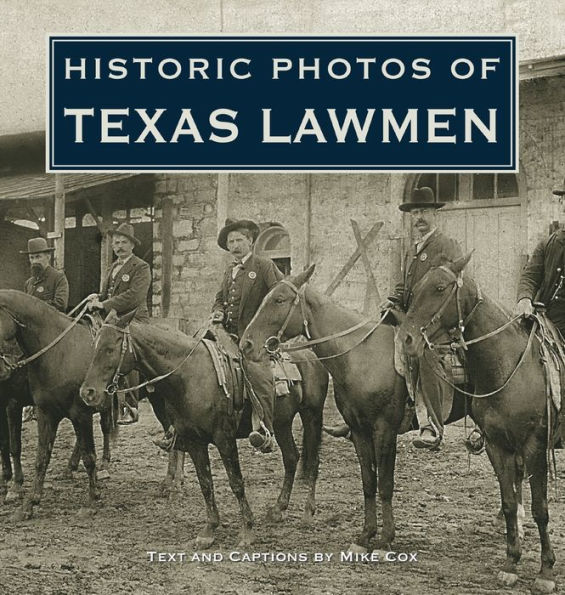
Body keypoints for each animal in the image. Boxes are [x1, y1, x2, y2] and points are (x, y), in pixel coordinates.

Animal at [0, 292, 178, 520]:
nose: (3, 369)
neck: (60, 353)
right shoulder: (46, 413)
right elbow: (41, 457)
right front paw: (29, 504)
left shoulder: (79, 413)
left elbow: (89, 457)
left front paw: (92, 500)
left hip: (164, 404)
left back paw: (170, 482)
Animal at [77, 312, 328, 548]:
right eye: (94, 346)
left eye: (110, 349)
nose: (87, 392)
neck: (191, 376)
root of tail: (311, 356)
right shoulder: (194, 442)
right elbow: (205, 484)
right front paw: (209, 530)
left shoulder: (225, 439)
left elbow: (236, 482)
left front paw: (247, 530)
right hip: (282, 424)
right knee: (291, 458)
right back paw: (278, 508)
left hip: (312, 416)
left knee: (314, 461)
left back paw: (308, 512)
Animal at [396, 256, 556, 595]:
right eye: (415, 288)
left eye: (440, 288)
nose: (406, 339)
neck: (509, 365)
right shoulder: (498, 445)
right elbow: (508, 502)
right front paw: (511, 563)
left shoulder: (535, 446)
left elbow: (541, 508)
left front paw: (546, 571)